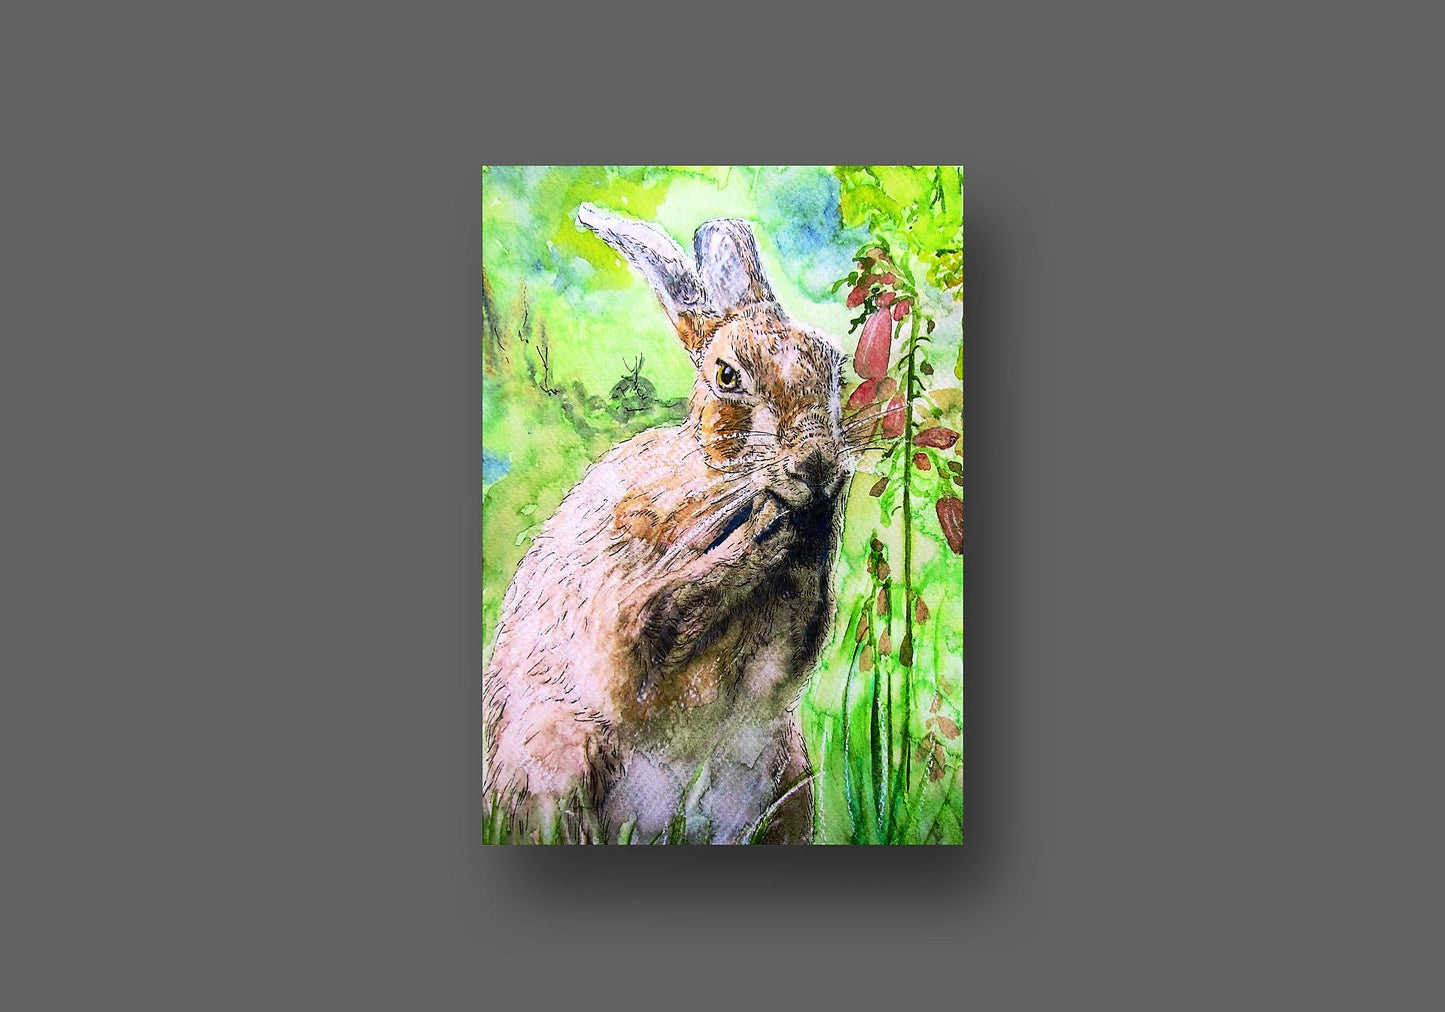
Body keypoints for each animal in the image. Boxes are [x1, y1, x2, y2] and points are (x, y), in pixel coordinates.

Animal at [483, 204, 853, 844]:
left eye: (833, 367)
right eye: (727, 375)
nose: (819, 465)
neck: (714, 474)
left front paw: (815, 521)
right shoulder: (623, 607)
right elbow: (656, 633)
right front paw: (764, 532)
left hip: (787, 767)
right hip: (555, 753)